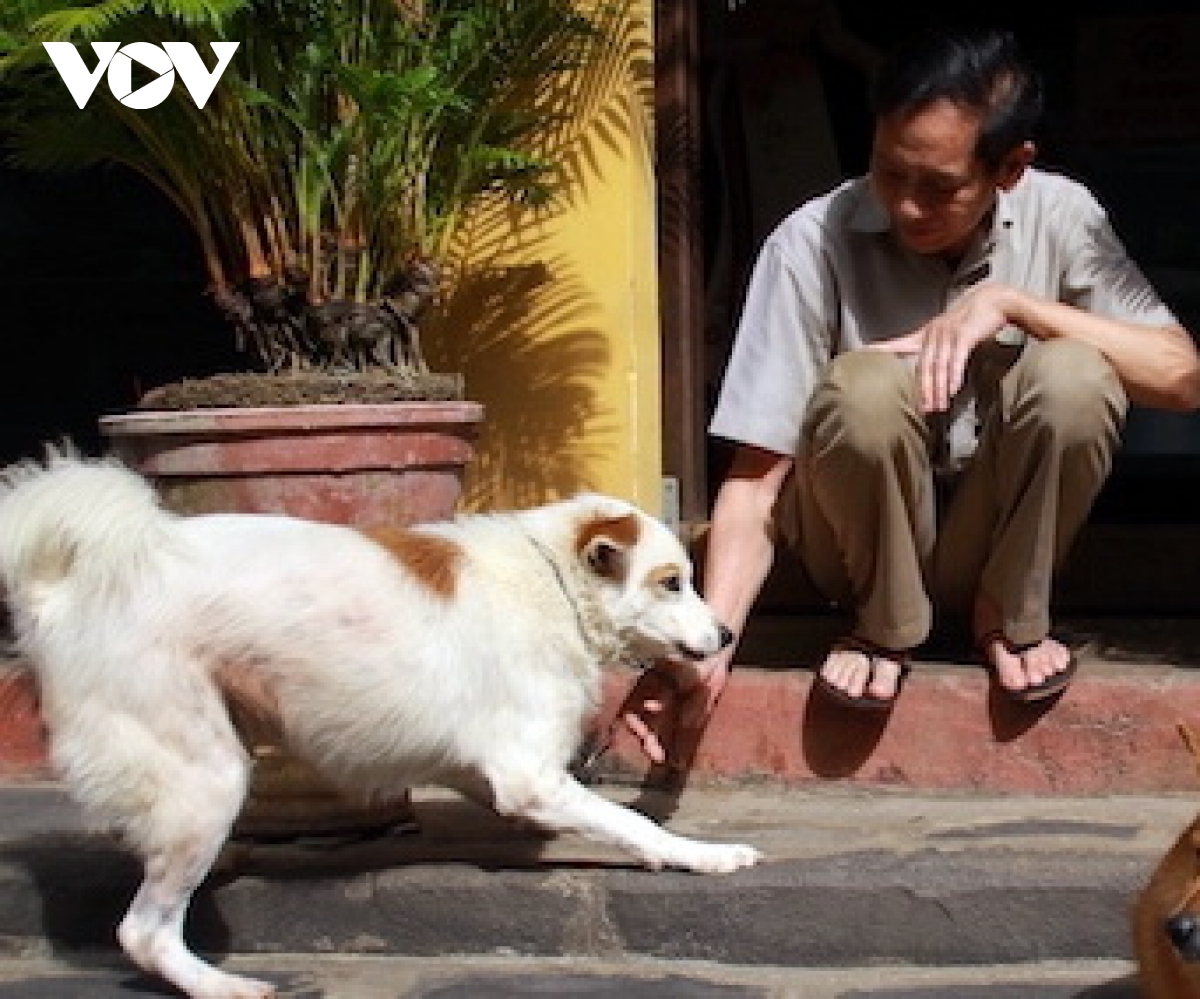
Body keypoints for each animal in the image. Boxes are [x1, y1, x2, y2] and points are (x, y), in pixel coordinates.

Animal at [0, 451, 753, 999]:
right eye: (670, 582)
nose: (726, 634)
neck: (555, 583)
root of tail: (63, 592)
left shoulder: (488, 768)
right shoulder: (528, 775)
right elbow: (631, 821)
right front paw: (701, 854)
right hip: (204, 775)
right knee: (144, 931)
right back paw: (224, 986)